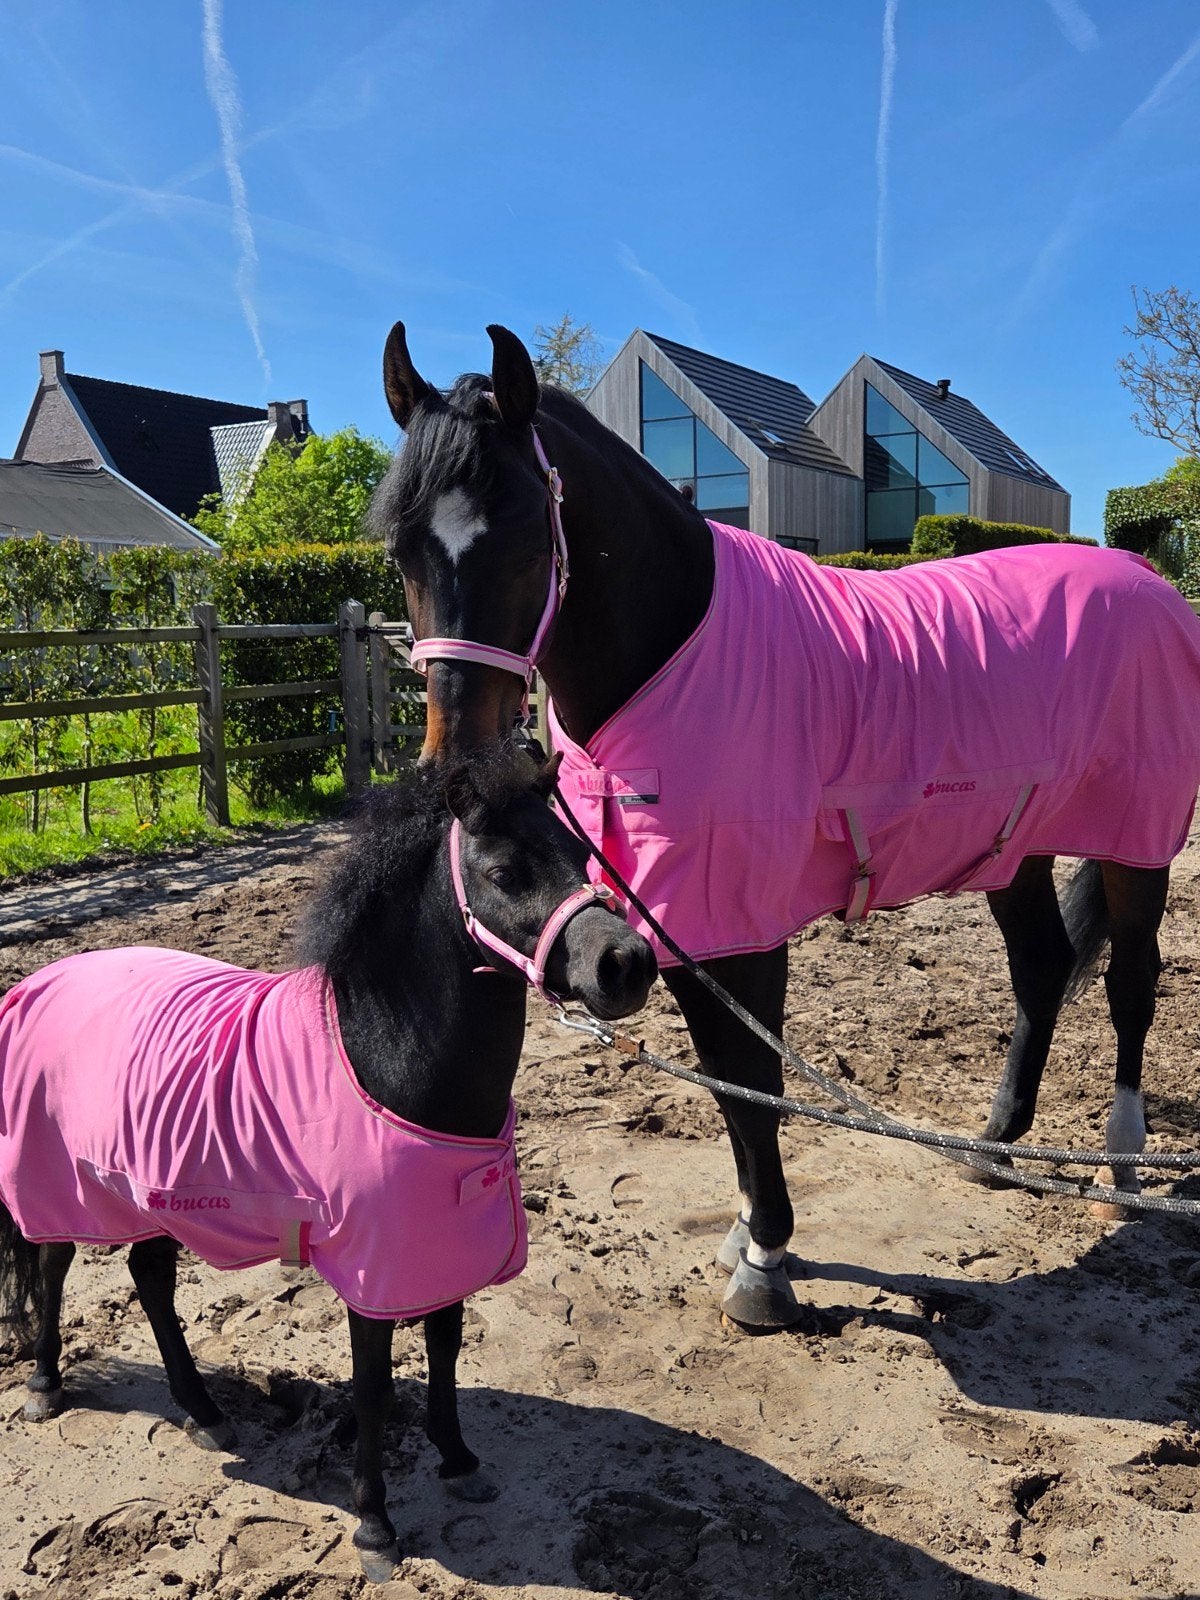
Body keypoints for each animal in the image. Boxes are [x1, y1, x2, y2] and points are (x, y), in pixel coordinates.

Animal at [0, 751, 657, 1581]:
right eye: (503, 873)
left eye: (579, 856)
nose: (628, 964)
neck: (388, 1059)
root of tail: (38, 983)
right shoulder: (369, 1271)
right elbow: (371, 1389)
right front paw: (375, 1526)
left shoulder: (436, 1246)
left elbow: (445, 1347)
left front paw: (458, 1460)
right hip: (68, 1187)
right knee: (53, 1267)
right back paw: (44, 1386)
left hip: (154, 1194)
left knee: (148, 1280)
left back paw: (204, 1414)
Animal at [370, 321, 1200, 1335]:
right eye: (402, 546)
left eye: (529, 537)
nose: (463, 773)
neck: (674, 650)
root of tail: (1150, 578)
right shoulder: (673, 918)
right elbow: (731, 1086)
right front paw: (745, 1234)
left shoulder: (741, 925)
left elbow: (752, 1083)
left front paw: (765, 1263)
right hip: (1015, 844)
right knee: (1042, 969)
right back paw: (996, 1146)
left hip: (1136, 840)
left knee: (1131, 983)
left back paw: (1122, 1165)